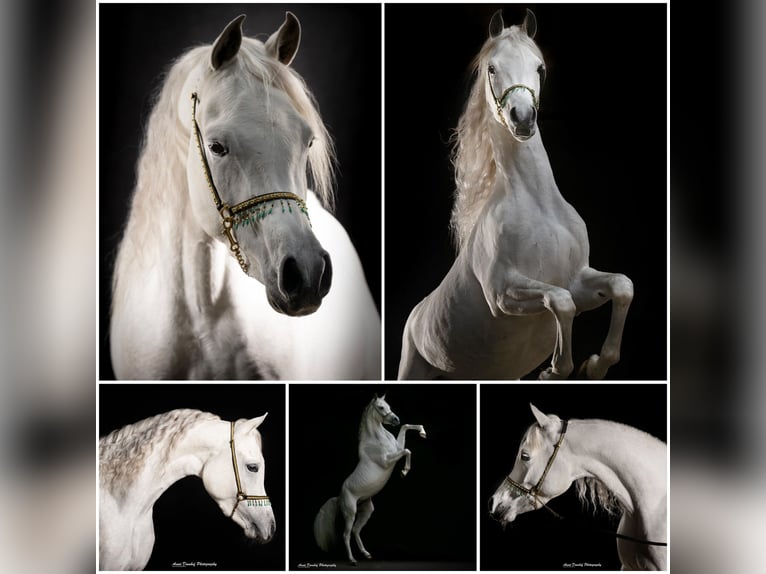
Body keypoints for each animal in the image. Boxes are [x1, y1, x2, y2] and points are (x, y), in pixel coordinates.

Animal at [313, 394, 427, 564]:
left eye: (388, 405)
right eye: (380, 407)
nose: (396, 419)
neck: (377, 439)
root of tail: (339, 497)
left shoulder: (397, 448)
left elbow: (405, 429)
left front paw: (422, 432)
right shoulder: (387, 461)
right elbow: (407, 450)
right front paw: (404, 472)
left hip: (366, 510)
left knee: (355, 531)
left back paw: (366, 554)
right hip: (350, 512)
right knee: (346, 534)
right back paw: (352, 560)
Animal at [398, 9, 633, 380]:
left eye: (540, 68)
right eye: (492, 68)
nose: (522, 118)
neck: (538, 207)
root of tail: (416, 315)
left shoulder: (580, 279)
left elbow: (621, 286)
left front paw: (594, 365)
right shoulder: (503, 293)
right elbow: (560, 301)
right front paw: (555, 370)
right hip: (411, 369)